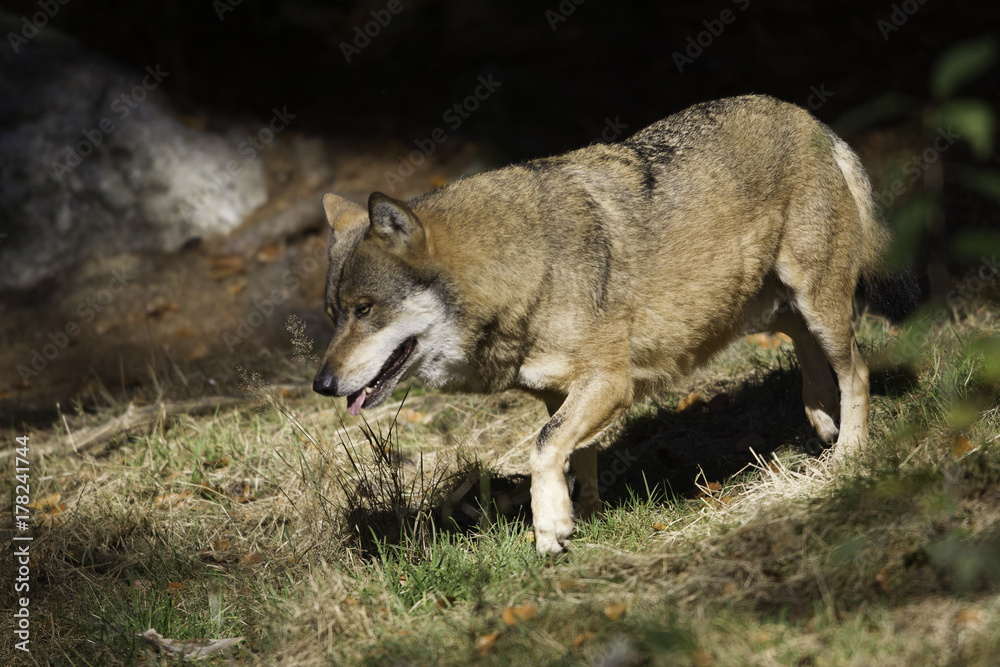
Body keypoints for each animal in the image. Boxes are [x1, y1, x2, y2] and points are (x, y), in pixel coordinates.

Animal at [313, 94, 908, 555]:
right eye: (334, 316)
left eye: (365, 310)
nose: (321, 384)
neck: (526, 269)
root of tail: (807, 117)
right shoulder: (560, 394)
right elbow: (576, 455)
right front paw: (589, 515)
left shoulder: (609, 383)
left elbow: (543, 448)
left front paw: (550, 528)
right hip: (770, 307)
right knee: (806, 347)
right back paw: (820, 417)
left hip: (815, 301)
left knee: (856, 370)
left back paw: (849, 451)